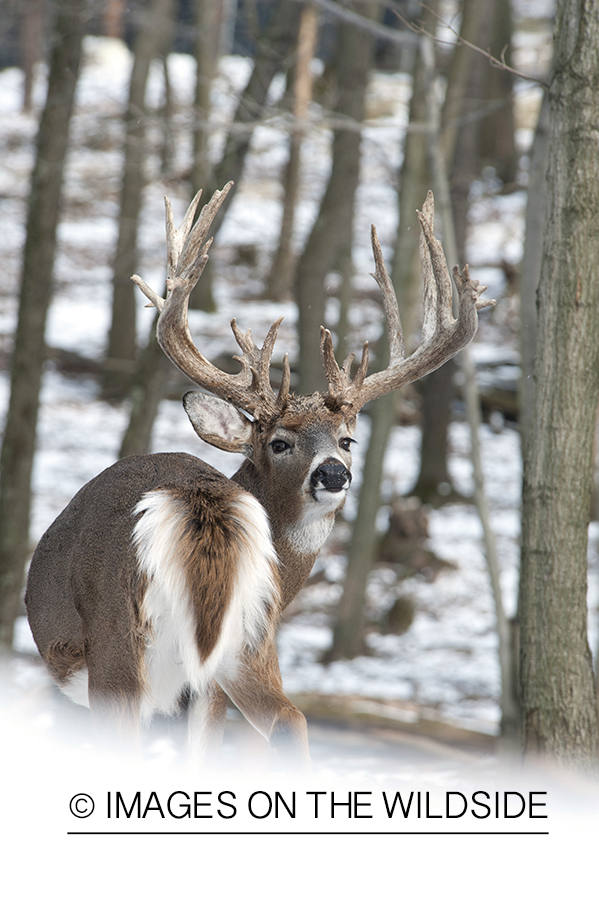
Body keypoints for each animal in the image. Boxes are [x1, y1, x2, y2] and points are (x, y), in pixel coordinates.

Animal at [23, 181, 494, 768]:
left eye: (347, 439)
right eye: (279, 442)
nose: (334, 473)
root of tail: (201, 508)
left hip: (121, 647)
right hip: (243, 639)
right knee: (289, 719)